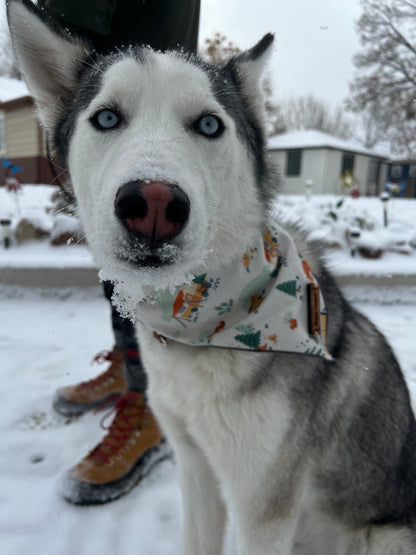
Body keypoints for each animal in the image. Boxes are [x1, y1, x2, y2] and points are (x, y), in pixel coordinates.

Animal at [8, 2, 416, 552]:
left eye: (208, 124)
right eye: (107, 117)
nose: (153, 204)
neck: (202, 326)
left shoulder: (263, 508)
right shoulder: (195, 464)